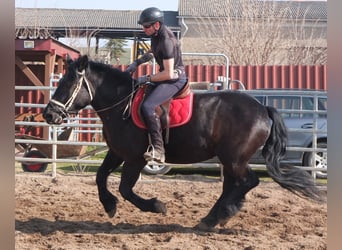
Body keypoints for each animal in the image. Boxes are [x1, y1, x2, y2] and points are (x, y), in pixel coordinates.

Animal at [43, 55, 320, 229]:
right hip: (230, 160)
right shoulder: (117, 152)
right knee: (232, 186)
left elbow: (126, 189)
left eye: (69, 82)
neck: (122, 104)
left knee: (247, 182)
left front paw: (156, 206)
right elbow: (100, 177)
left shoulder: (134, 158)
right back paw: (215, 217)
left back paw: (220, 215)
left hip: (234, 159)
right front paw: (109, 205)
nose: (49, 114)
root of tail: (263, 109)